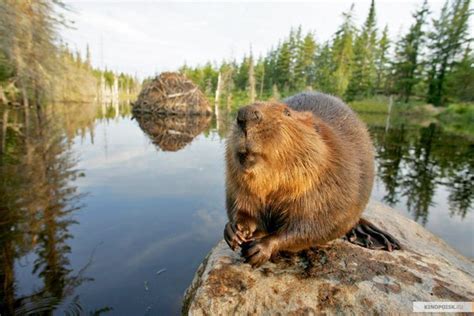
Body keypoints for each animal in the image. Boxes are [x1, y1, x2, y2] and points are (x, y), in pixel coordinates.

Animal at [225, 92, 400, 268]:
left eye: (287, 112)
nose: (245, 114)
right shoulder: (238, 184)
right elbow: (242, 207)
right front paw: (234, 231)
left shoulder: (332, 183)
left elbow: (314, 226)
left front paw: (260, 249)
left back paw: (377, 238)